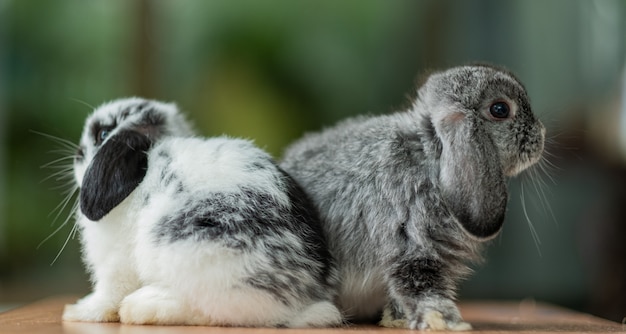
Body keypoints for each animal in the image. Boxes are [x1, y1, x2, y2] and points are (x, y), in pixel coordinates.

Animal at [63, 98, 342, 328]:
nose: (77, 154)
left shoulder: (115, 264)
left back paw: (143, 307)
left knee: (217, 311)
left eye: (103, 134)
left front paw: (78, 311)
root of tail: (303, 298)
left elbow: (107, 294)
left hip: (192, 252)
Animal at [280, 64, 544, 330]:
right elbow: (422, 288)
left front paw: (399, 319)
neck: (430, 156)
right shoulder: (411, 242)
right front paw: (446, 322)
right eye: (500, 109)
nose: (541, 134)